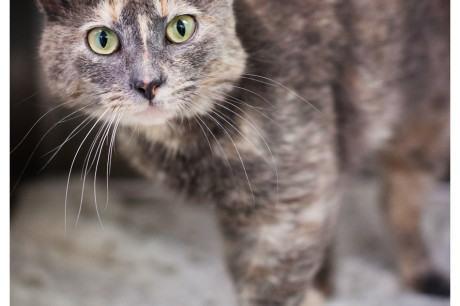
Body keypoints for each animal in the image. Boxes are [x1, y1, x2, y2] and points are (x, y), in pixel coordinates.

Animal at [36, 0, 450, 304]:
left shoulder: (291, 206)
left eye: (180, 28)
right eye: (102, 39)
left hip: (425, 120)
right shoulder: (247, 213)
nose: (148, 82)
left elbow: (274, 287)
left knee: (400, 198)